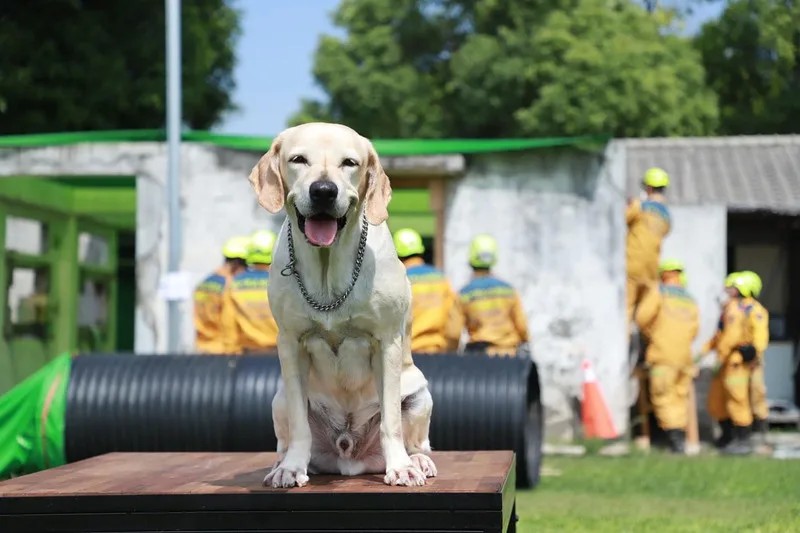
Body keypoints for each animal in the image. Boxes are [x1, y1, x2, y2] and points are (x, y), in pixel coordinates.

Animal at [250, 121, 438, 486]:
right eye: (298, 159)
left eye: (349, 163)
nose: (324, 191)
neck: (328, 267)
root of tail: (349, 456)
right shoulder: (290, 343)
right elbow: (299, 425)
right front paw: (291, 468)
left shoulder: (387, 342)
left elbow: (391, 422)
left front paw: (401, 467)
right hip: (278, 398)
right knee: (287, 433)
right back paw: (282, 464)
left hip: (420, 394)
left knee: (418, 440)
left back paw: (418, 461)